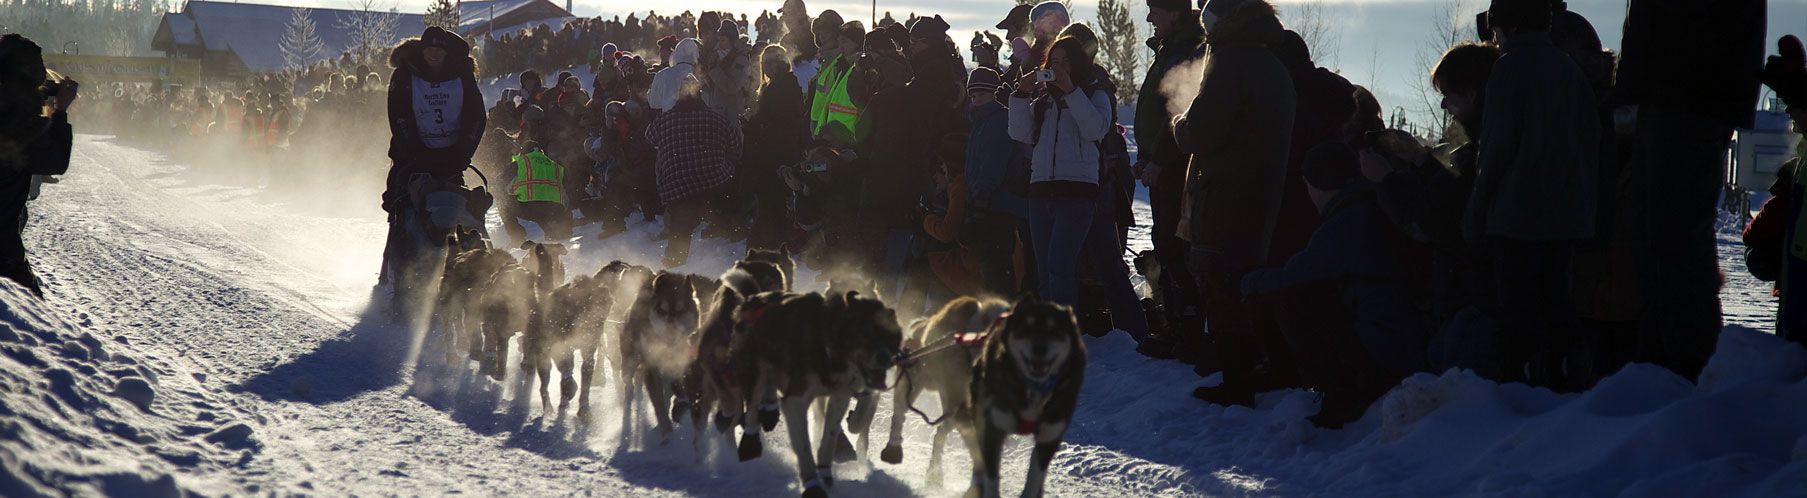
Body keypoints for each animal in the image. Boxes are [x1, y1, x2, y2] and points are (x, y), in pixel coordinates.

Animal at [726, 290, 903, 494]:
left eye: (891, 337)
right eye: (866, 334)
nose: (887, 359)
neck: (828, 346)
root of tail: (754, 299)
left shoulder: (839, 397)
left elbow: (830, 438)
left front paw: (825, 470)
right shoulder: (795, 400)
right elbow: (803, 446)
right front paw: (812, 484)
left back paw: (769, 410)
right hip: (753, 371)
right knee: (753, 406)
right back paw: (750, 441)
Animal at [961, 297, 1084, 494]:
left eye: (1056, 331)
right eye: (1026, 328)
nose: (1040, 348)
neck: (1034, 388)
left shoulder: (1049, 437)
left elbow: (1034, 477)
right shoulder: (993, 431)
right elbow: (991, 476)